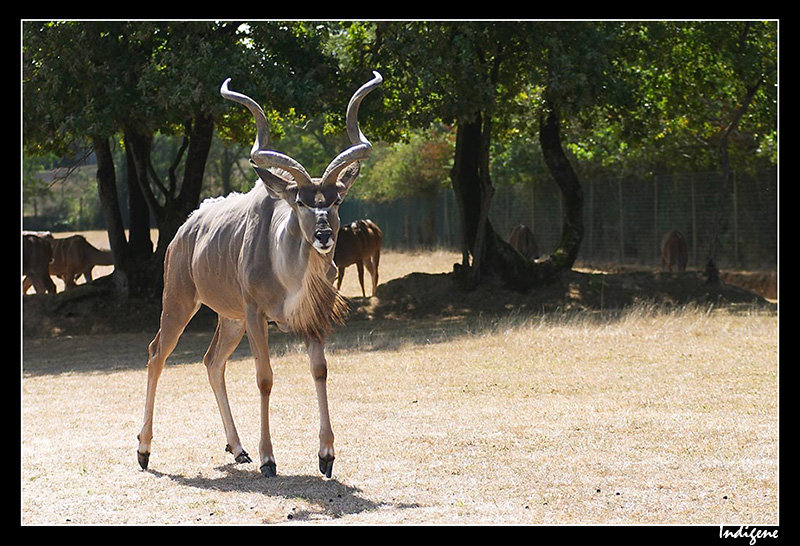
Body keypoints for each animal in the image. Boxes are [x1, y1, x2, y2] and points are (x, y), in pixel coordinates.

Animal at [136, 71, 382, 476]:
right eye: (300, 201)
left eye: (336, 200)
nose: (324, 236)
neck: (287, 274)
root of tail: (184, 231)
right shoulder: (256, 315)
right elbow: (264, 377)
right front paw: (269, 459)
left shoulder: (311, 317)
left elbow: (320, 369)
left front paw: (326, 455)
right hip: (181, 302)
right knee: (157, 353)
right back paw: (143, 450)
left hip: (230, 319)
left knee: (212, 361)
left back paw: (237, 449)